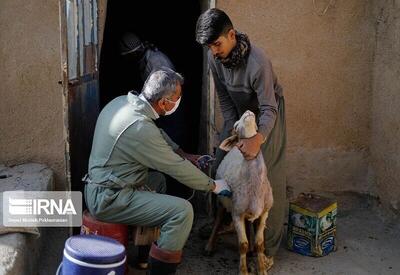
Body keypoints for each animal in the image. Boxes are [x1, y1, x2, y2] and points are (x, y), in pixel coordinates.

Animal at [206, 111, 272, 274]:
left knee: (248, 227)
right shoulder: (236, 214)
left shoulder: (264, 213)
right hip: (222, 202)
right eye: (236, 124)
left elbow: (260, 244)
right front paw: (243, 271)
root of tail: (234, 148)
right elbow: (242, 245)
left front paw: (262, 269)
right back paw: (209, 246)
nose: (248, 112)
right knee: (218, 221)